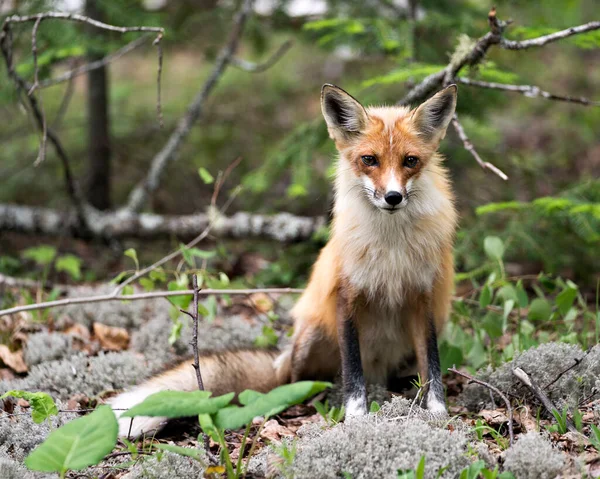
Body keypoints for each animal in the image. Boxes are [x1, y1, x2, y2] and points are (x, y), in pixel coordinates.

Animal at [110, 83, 458, 438]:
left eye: (410, 161)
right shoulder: (347, 296)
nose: (393, 197)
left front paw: (438, 412)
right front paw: (356, 417)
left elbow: (432, 364)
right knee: (301, 382)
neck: (391, 247)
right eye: (369, 160)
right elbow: (353, 371)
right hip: (310, 340)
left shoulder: (423, 297)